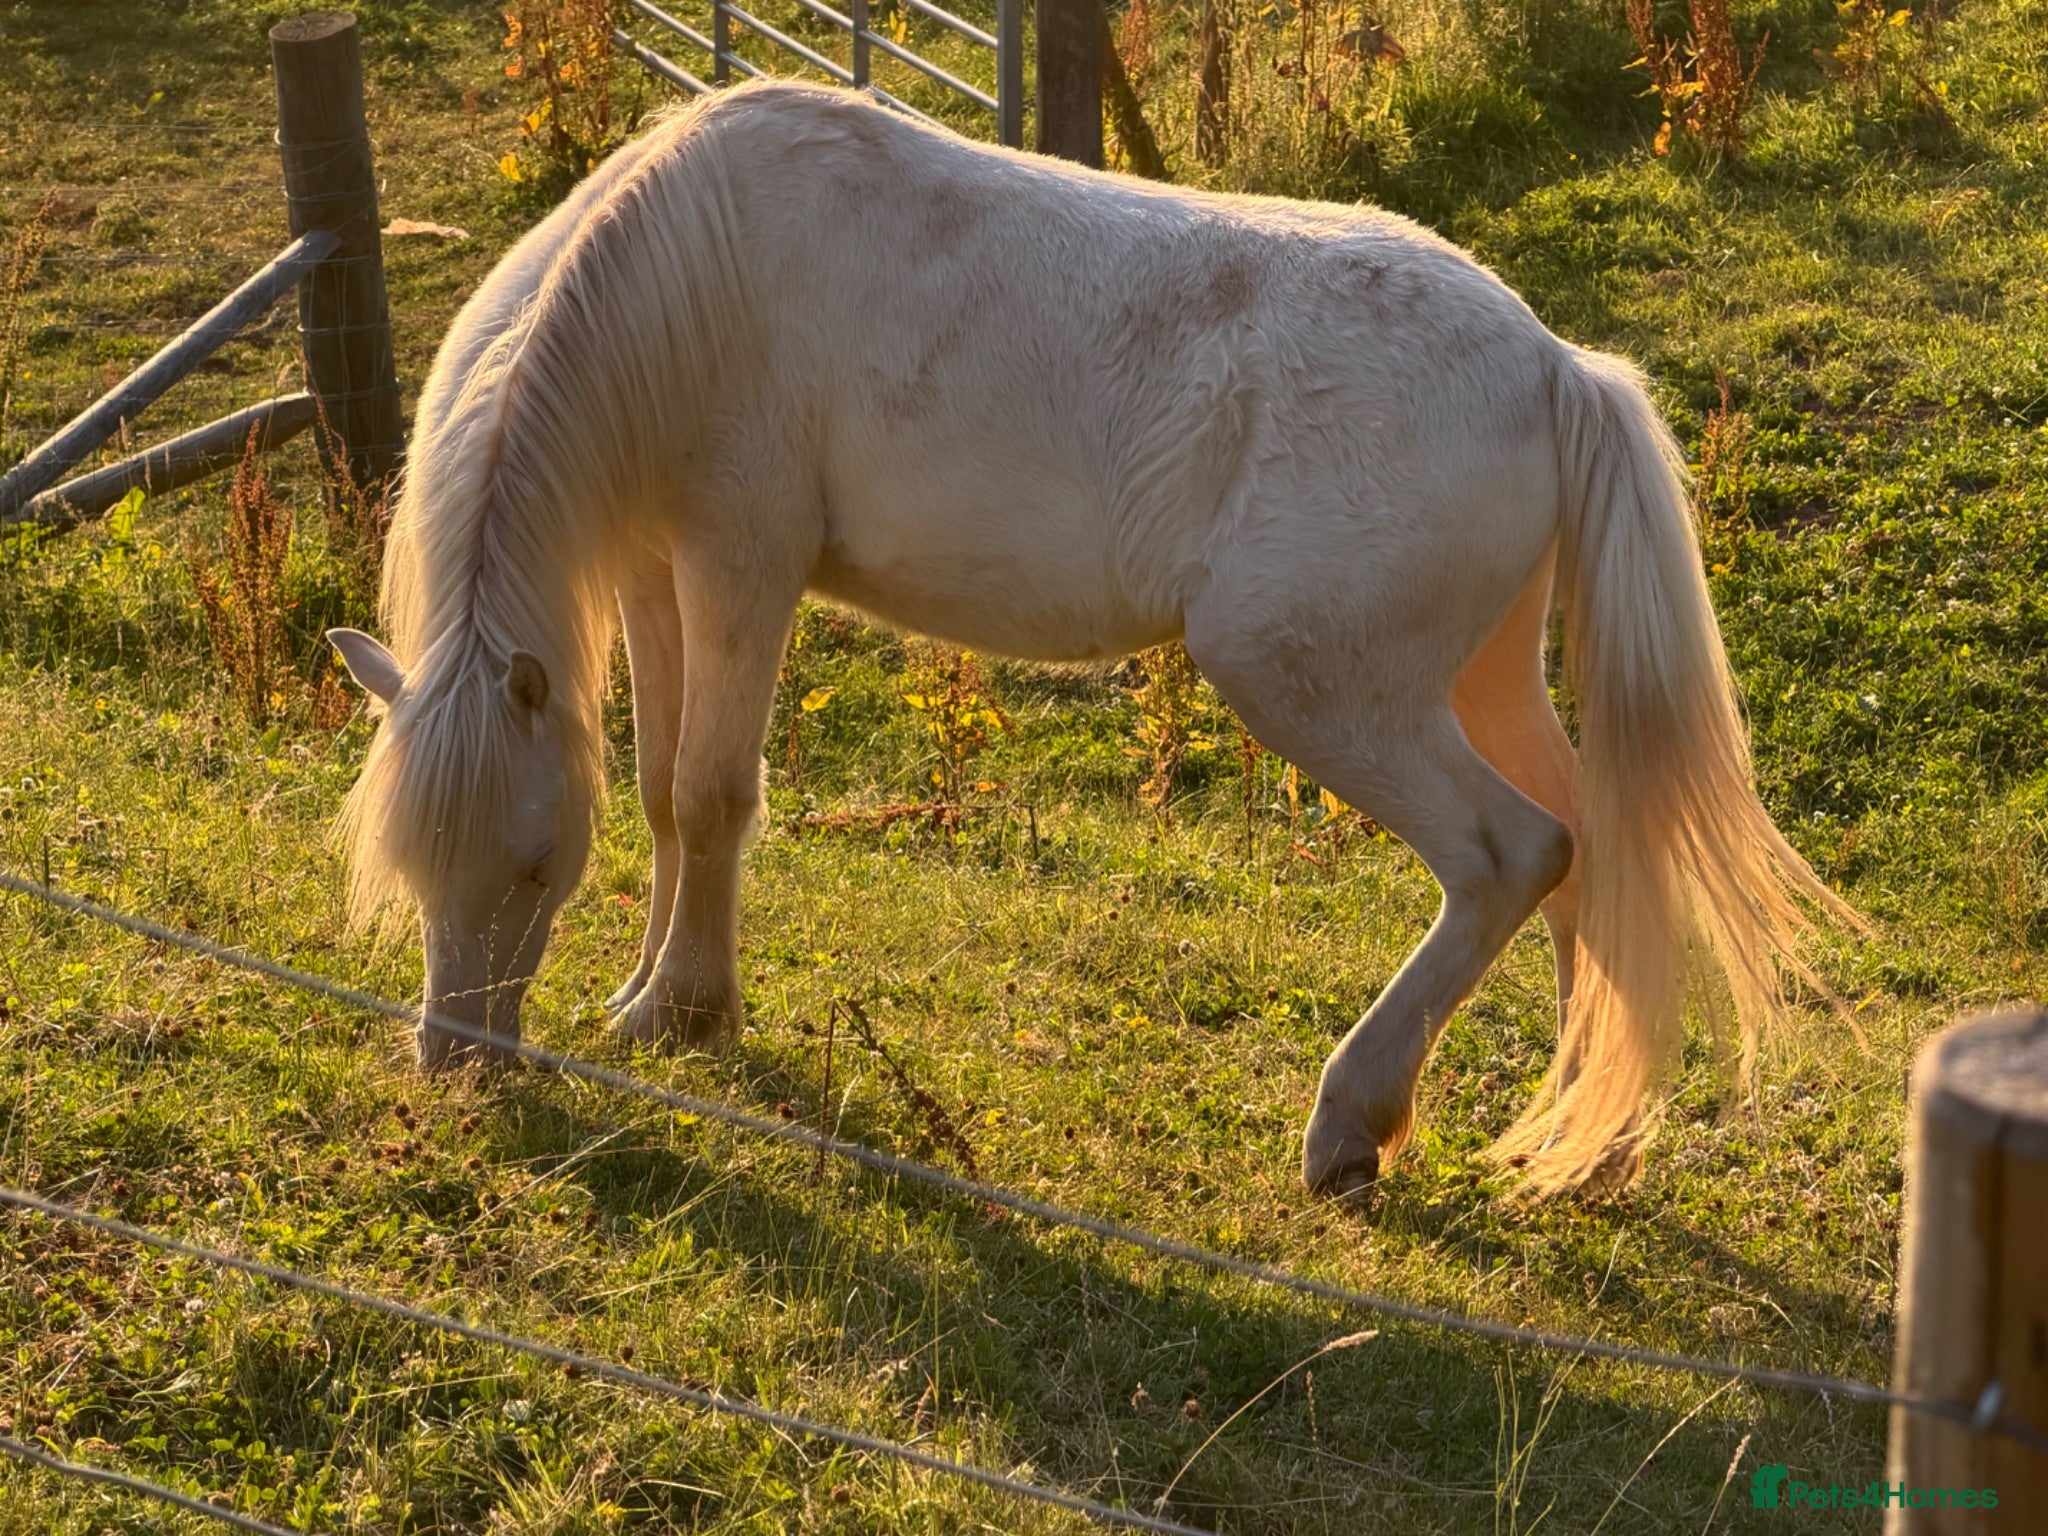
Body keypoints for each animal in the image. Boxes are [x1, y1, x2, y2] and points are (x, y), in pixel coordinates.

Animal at [327, 79, 1855, 1200]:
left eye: (531, 864)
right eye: (416, 863)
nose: (456, 1063)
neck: (693, 275)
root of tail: (1552, 365)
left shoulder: (742, 567)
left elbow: (712, 794)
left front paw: (682, 1015)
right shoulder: (656, 572)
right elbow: (655, 795)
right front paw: (651, 991)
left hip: (1319, 690)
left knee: (1509, 855)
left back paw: (1351, 1125)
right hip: (1479, 688)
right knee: (1586, 852)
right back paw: (1582, 1135)